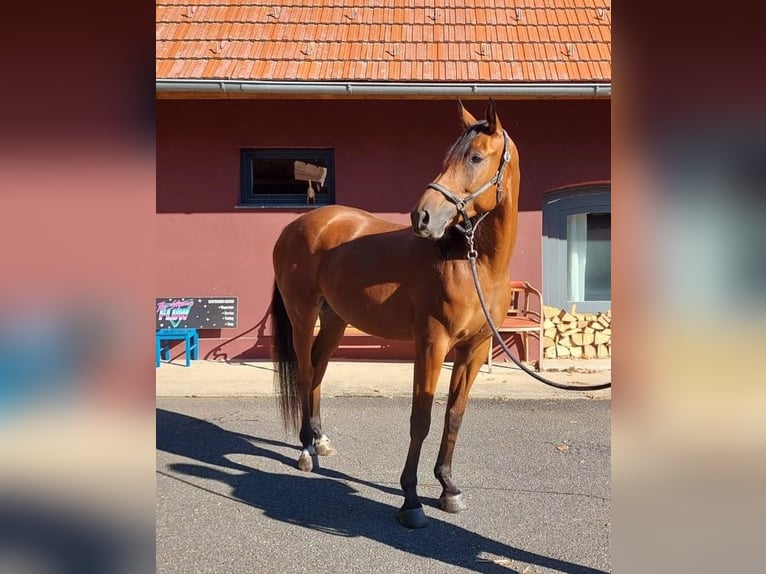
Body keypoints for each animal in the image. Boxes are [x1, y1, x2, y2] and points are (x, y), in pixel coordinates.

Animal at [270, 99, 519, 528]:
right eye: (446, 157)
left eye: (475, 157)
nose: (422, 216)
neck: (472, 263)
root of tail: (297, 226)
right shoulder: (432, 344)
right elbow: (421, 419)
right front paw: (411, 501)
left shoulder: (473, 349)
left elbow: (454, 416)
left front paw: (448, 489)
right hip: (303, 316)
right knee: (304, 373)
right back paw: (305, 450)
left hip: (335, 320)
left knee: (317, 371)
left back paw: (320, 440)